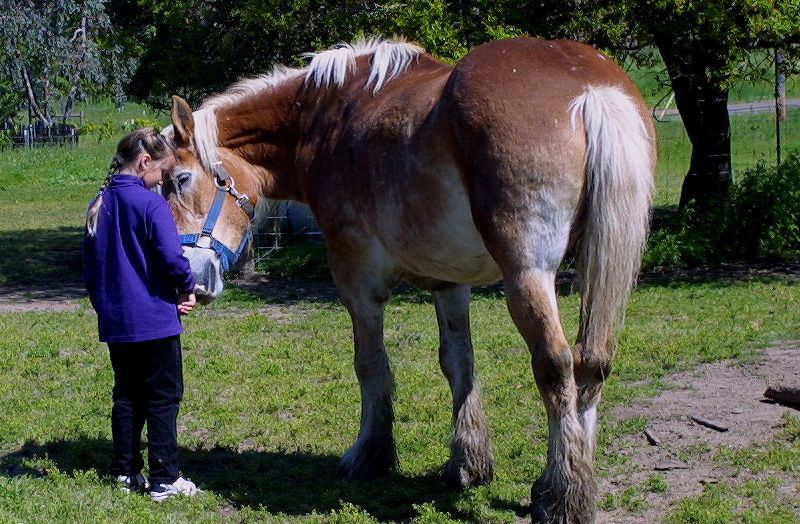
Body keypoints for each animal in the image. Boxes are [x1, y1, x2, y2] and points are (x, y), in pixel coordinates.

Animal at [164, 37, 656, 524]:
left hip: (528, 276)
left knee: (556, 366)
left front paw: (369, 455)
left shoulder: (357, 281)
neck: (326, 118)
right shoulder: (450, 283)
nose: (190, 279)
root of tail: (588, 87)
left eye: (180, 179)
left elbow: (371, 365)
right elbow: (459, 364)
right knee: (592, 363)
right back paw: (580, 475)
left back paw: (561, 494)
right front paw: (467, 463)